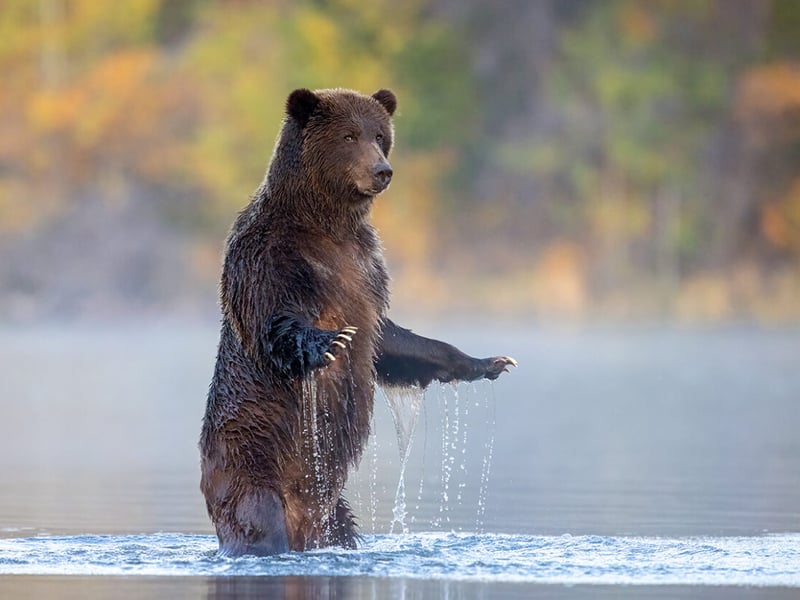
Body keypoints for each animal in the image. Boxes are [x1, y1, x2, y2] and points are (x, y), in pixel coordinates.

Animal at [199, 87, 517, 557]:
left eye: (380, 135)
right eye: (349, 135)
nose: (382, 171)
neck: (325, 223)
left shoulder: (367, 271)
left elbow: (391, 341)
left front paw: (490, 362)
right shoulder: (268, 256)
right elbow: (273, 321)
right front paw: (330, 343)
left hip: (332, 509)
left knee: (342, 527)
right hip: (250, 461)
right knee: (257, 520)